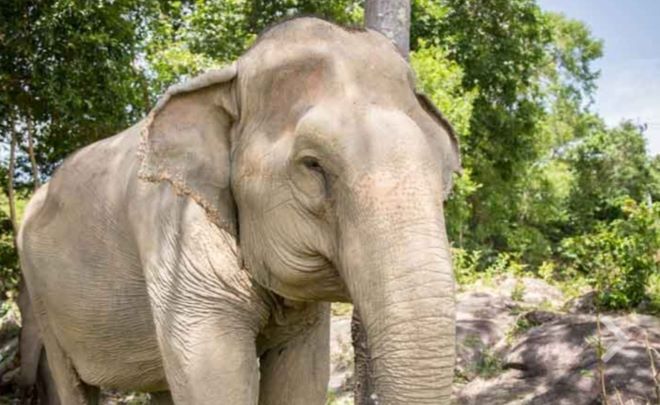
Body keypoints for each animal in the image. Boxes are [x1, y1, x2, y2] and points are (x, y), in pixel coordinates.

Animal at [17, 17, 460, 405]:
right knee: (72, 384)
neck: (228, 78)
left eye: (443, 169)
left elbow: (301, 381)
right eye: (312, 165)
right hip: (43, 298)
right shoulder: (176, 241)